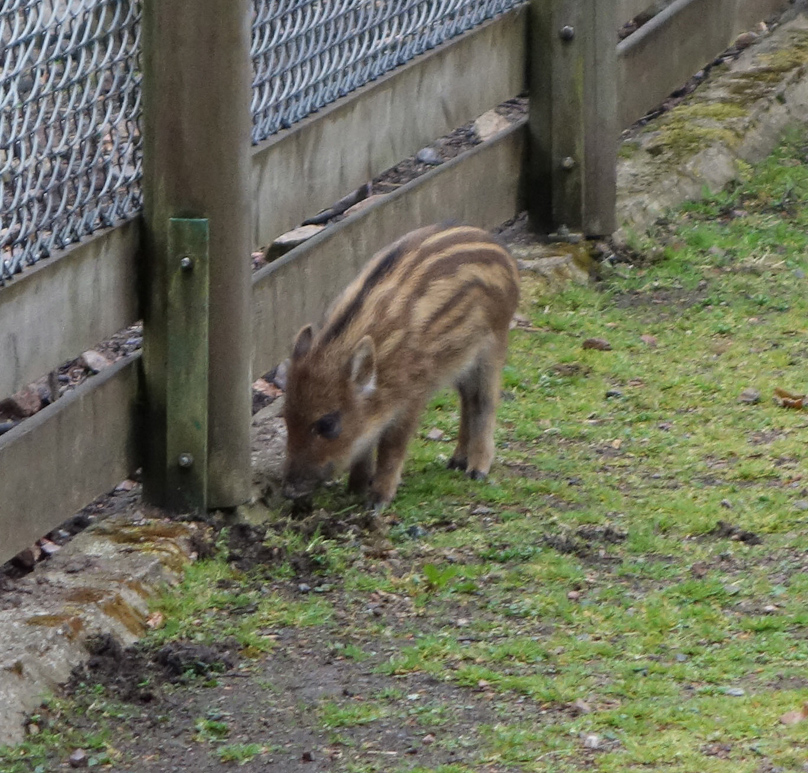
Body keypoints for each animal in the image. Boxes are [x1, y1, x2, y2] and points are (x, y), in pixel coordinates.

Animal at [282, 223, 520, 507]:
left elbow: (391, 446)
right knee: (467, 401)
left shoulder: (411, 398)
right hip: (461, 362)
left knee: (485, 401)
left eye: (327, 424)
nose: (289, 490)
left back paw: (477, 470)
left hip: (493, 345)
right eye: (285, 416)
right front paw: (355, 489)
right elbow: (366, 444)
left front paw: (377, 500)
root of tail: (498, 247)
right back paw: (456, 462)